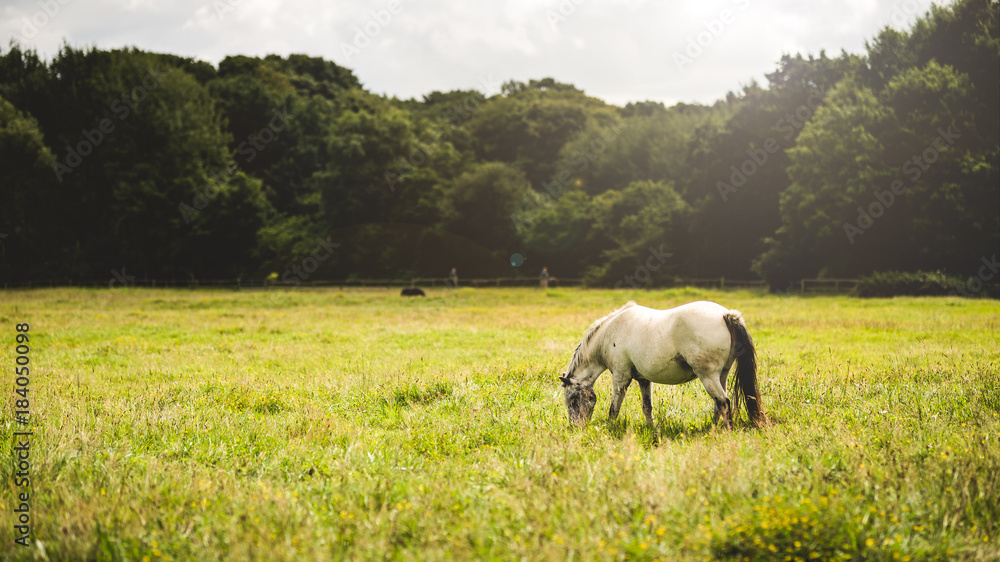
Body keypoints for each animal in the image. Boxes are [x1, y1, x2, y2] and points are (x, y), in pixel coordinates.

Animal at [559, 301, 767, 429]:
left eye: (573, 400)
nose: (576, 427)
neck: (612, 331)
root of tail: (726, 315)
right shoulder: (643, 380)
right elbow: (647, 407)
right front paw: (651, 428)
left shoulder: (620, 377)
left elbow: (614, 407)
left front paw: (610, 427)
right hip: (721, 375)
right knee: (719, 402)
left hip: (708, 376)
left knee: (723, 402)